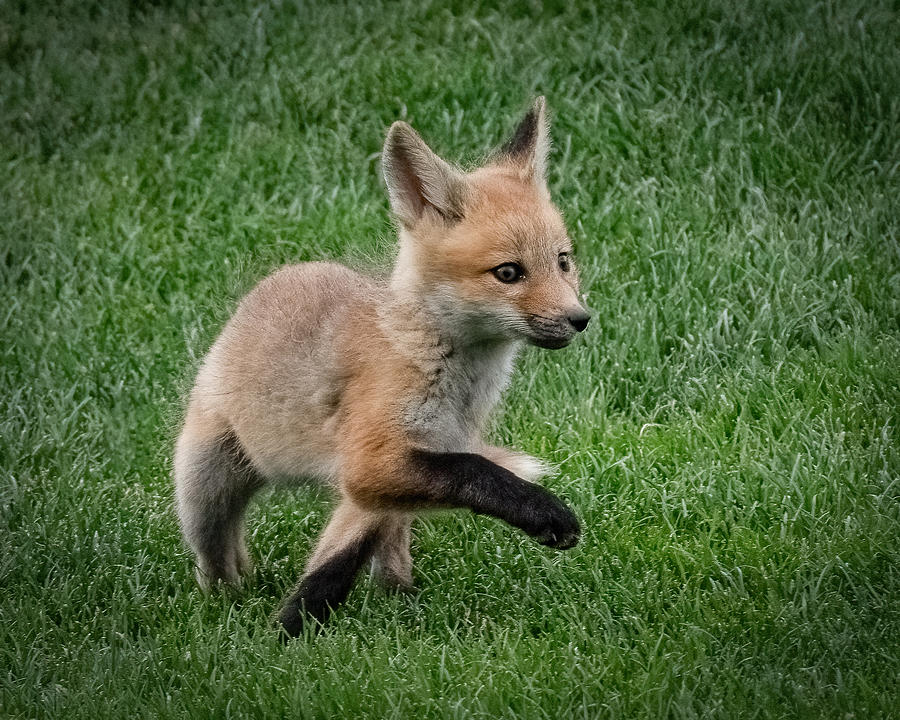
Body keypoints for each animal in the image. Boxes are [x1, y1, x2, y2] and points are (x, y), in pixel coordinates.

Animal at [174, 97, 591, 637]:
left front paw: (293, 628)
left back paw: (398, 596)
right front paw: (284, 638)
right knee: (215, 553)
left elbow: (339, 558)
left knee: (389, 540)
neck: (445, 376)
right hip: (203, 483)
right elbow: (479, 471)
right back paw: (224, 596)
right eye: (508, 273)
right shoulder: (372, 460)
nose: (580, 319)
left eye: (562, 261)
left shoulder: (401, 466)